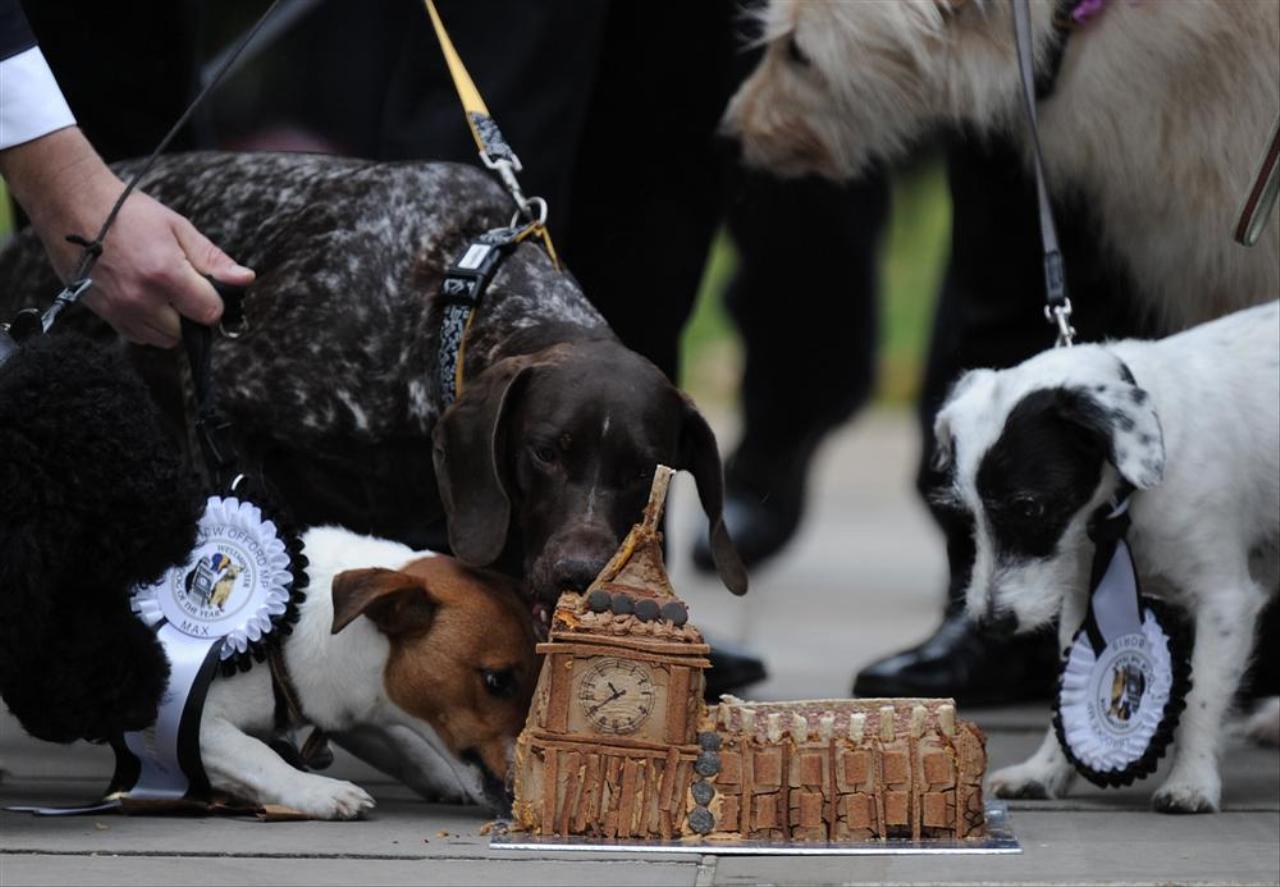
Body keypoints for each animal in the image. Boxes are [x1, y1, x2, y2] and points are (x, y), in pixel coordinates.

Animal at [930, 300, 1280, 812]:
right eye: (965, 511)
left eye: (1029, 506)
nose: (990, 624)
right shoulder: (1081, 602)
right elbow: (1064, 694)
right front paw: (1045, 771)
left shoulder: (1225, 601)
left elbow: (1202, 699)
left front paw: (1192, 781)